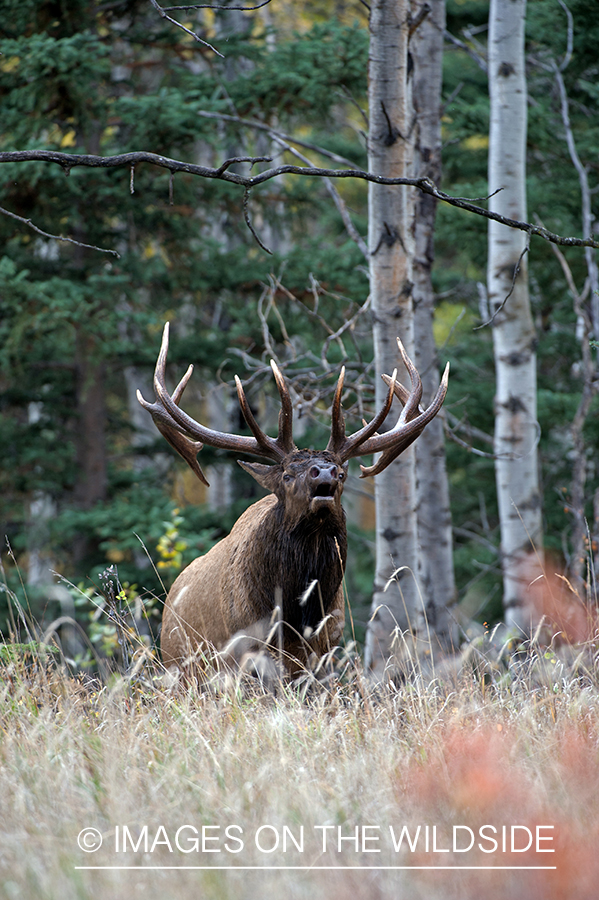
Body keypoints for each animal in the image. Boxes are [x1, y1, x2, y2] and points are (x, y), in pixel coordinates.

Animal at [138, 326, 448, 676]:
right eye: (287, 475)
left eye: (342, 473)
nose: (324, 471)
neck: (296, 617)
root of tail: (167, 607)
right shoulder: (245, 650)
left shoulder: (326, 650)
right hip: (179, 668)